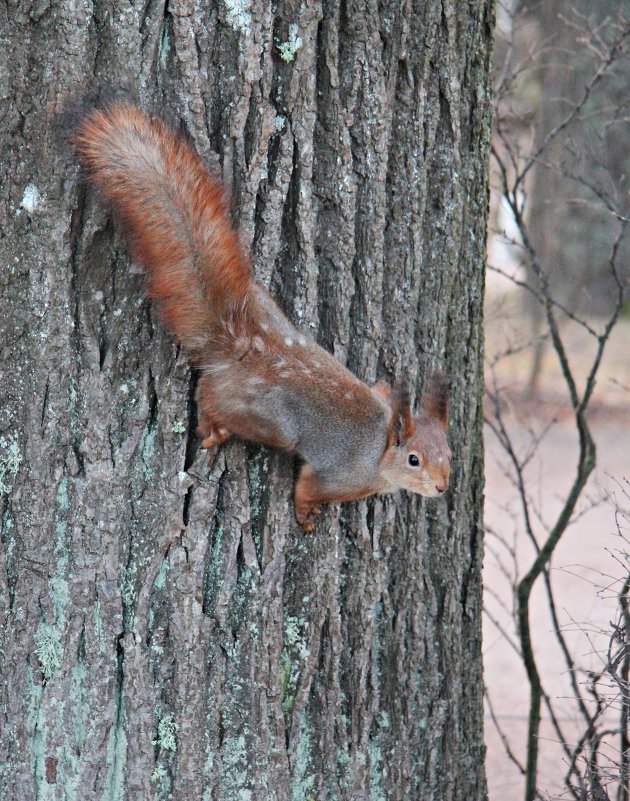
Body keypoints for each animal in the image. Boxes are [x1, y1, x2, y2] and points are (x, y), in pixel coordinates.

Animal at [73, 104, 454, 532]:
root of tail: (243, 342)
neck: (379, 449)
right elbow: (307, 488)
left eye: (449, 455)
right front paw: (306, 516)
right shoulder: (335, 475)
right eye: (414, 459)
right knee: (210, 397)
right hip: (269, 419)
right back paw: (213, 426)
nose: (442, 487)